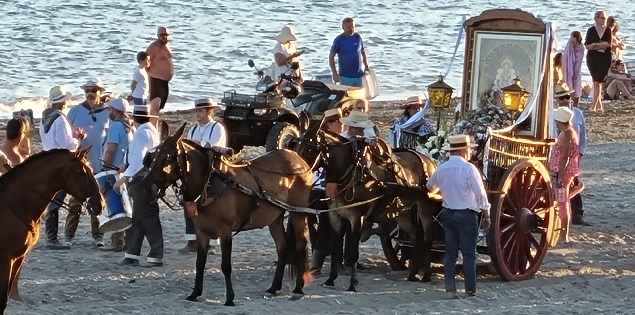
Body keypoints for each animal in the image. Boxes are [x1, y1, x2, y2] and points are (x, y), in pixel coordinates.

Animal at [143, 124, 314, 308]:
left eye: (166, 158)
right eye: (153, 156)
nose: (145, 185)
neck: (209, 183)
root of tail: (297, 158)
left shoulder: (224, 232)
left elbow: (226, 266)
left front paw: (230, 297)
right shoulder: (201, 231)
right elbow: (200, 263)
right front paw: (195, 293)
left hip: (298, 212)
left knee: (301, 246)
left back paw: (298, 289)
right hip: (274, 218)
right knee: (282, 248)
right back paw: (273, 287)